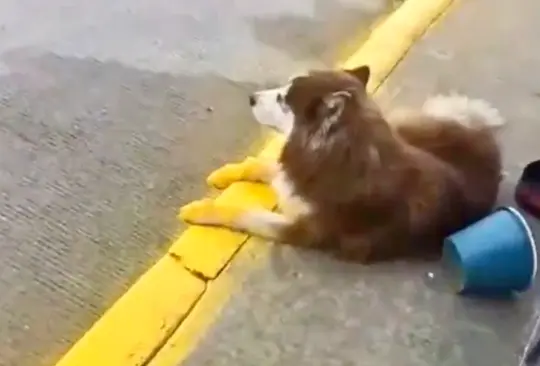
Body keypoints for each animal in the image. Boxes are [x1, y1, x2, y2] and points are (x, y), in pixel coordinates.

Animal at [181, 66, 506, 264]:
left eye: (283, 99)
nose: (250, 98)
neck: (335, 152)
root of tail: (486, 135)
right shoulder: (296, 170)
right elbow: (261, 166)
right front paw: (226, 173)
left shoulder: (303, 230)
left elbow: (242, 213)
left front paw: (201, 210)